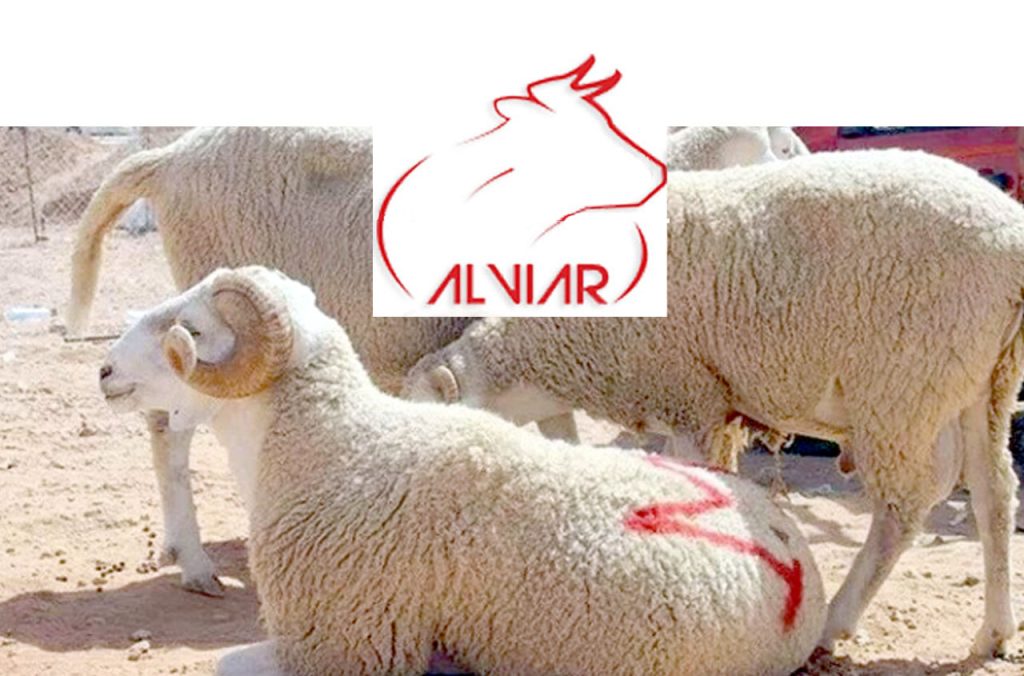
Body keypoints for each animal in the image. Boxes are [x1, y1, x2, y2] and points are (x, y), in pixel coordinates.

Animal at [101, 265, 826, 676]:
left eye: (191, 327)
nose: (104, 370)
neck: (330, 442)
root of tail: (793, 551)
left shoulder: (341, 644)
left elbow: (224, 662)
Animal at [404, 148, 1024, 658]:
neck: (563, 343)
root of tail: (1010, 237)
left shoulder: (690, 398)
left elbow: (702, 479)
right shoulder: (707, 404)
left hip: (905, 384)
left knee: (906, 506)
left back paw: (836, 621)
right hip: (985, 384)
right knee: (993, 492)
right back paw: (993, 632)